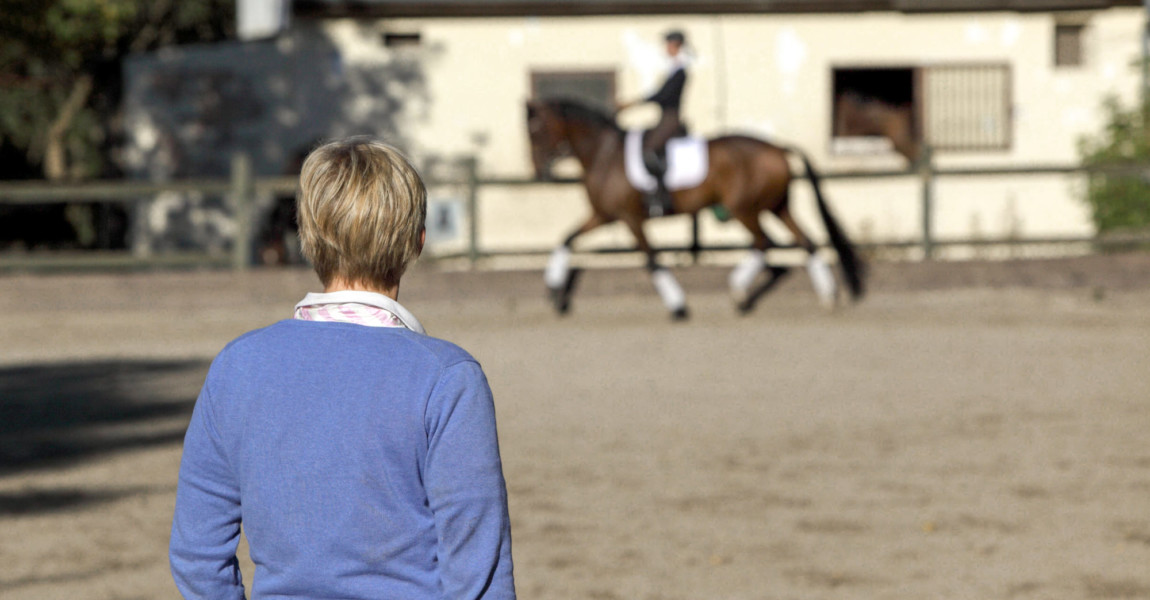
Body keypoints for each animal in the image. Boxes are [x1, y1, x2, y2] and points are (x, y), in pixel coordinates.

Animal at [526, 98, 864, 317]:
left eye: (537, 130)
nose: (539, 172)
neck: (603, 155)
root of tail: (777, 148)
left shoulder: (630, 218)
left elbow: (652, 260)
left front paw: (677, 305)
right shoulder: (604, 215)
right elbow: (566, 239)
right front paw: (554, 290)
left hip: (745, 209)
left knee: (763, 242)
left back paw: (738, 292)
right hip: (776, 206)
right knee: (806, 242)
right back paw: (828, 296)